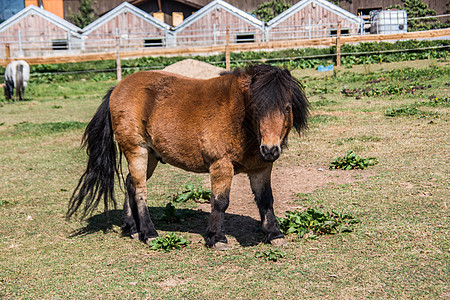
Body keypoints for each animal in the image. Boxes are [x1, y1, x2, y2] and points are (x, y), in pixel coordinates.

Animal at [67, 64, 310, 250]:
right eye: (257, 108)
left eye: (286, 107)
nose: (270, 149)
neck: (239, 117)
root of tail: (117, 88)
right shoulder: (221, 166)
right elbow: (220, 202)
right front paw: (216, 238)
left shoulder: (261, 168)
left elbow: (266, 199)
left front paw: (274, 233)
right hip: (137, 151)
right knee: (140, 191)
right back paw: (149, 232)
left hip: (151, 156)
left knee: (130, 184)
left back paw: (132, 228)